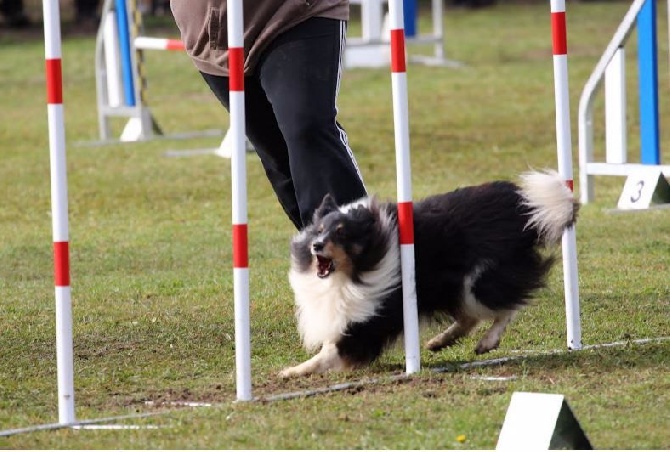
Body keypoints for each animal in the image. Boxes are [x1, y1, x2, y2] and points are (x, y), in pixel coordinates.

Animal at [280, 170, 580, 378]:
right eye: (319, 230)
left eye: (342, 233)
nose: (317, 246)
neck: (355, 271)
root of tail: (523, 205)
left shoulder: (370, 318)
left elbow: (332, 351)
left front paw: (292, 371)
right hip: (456, 288)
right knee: (472, 316)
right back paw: (440, 341)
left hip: (478, 282)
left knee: (507, 306)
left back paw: (487, 341)